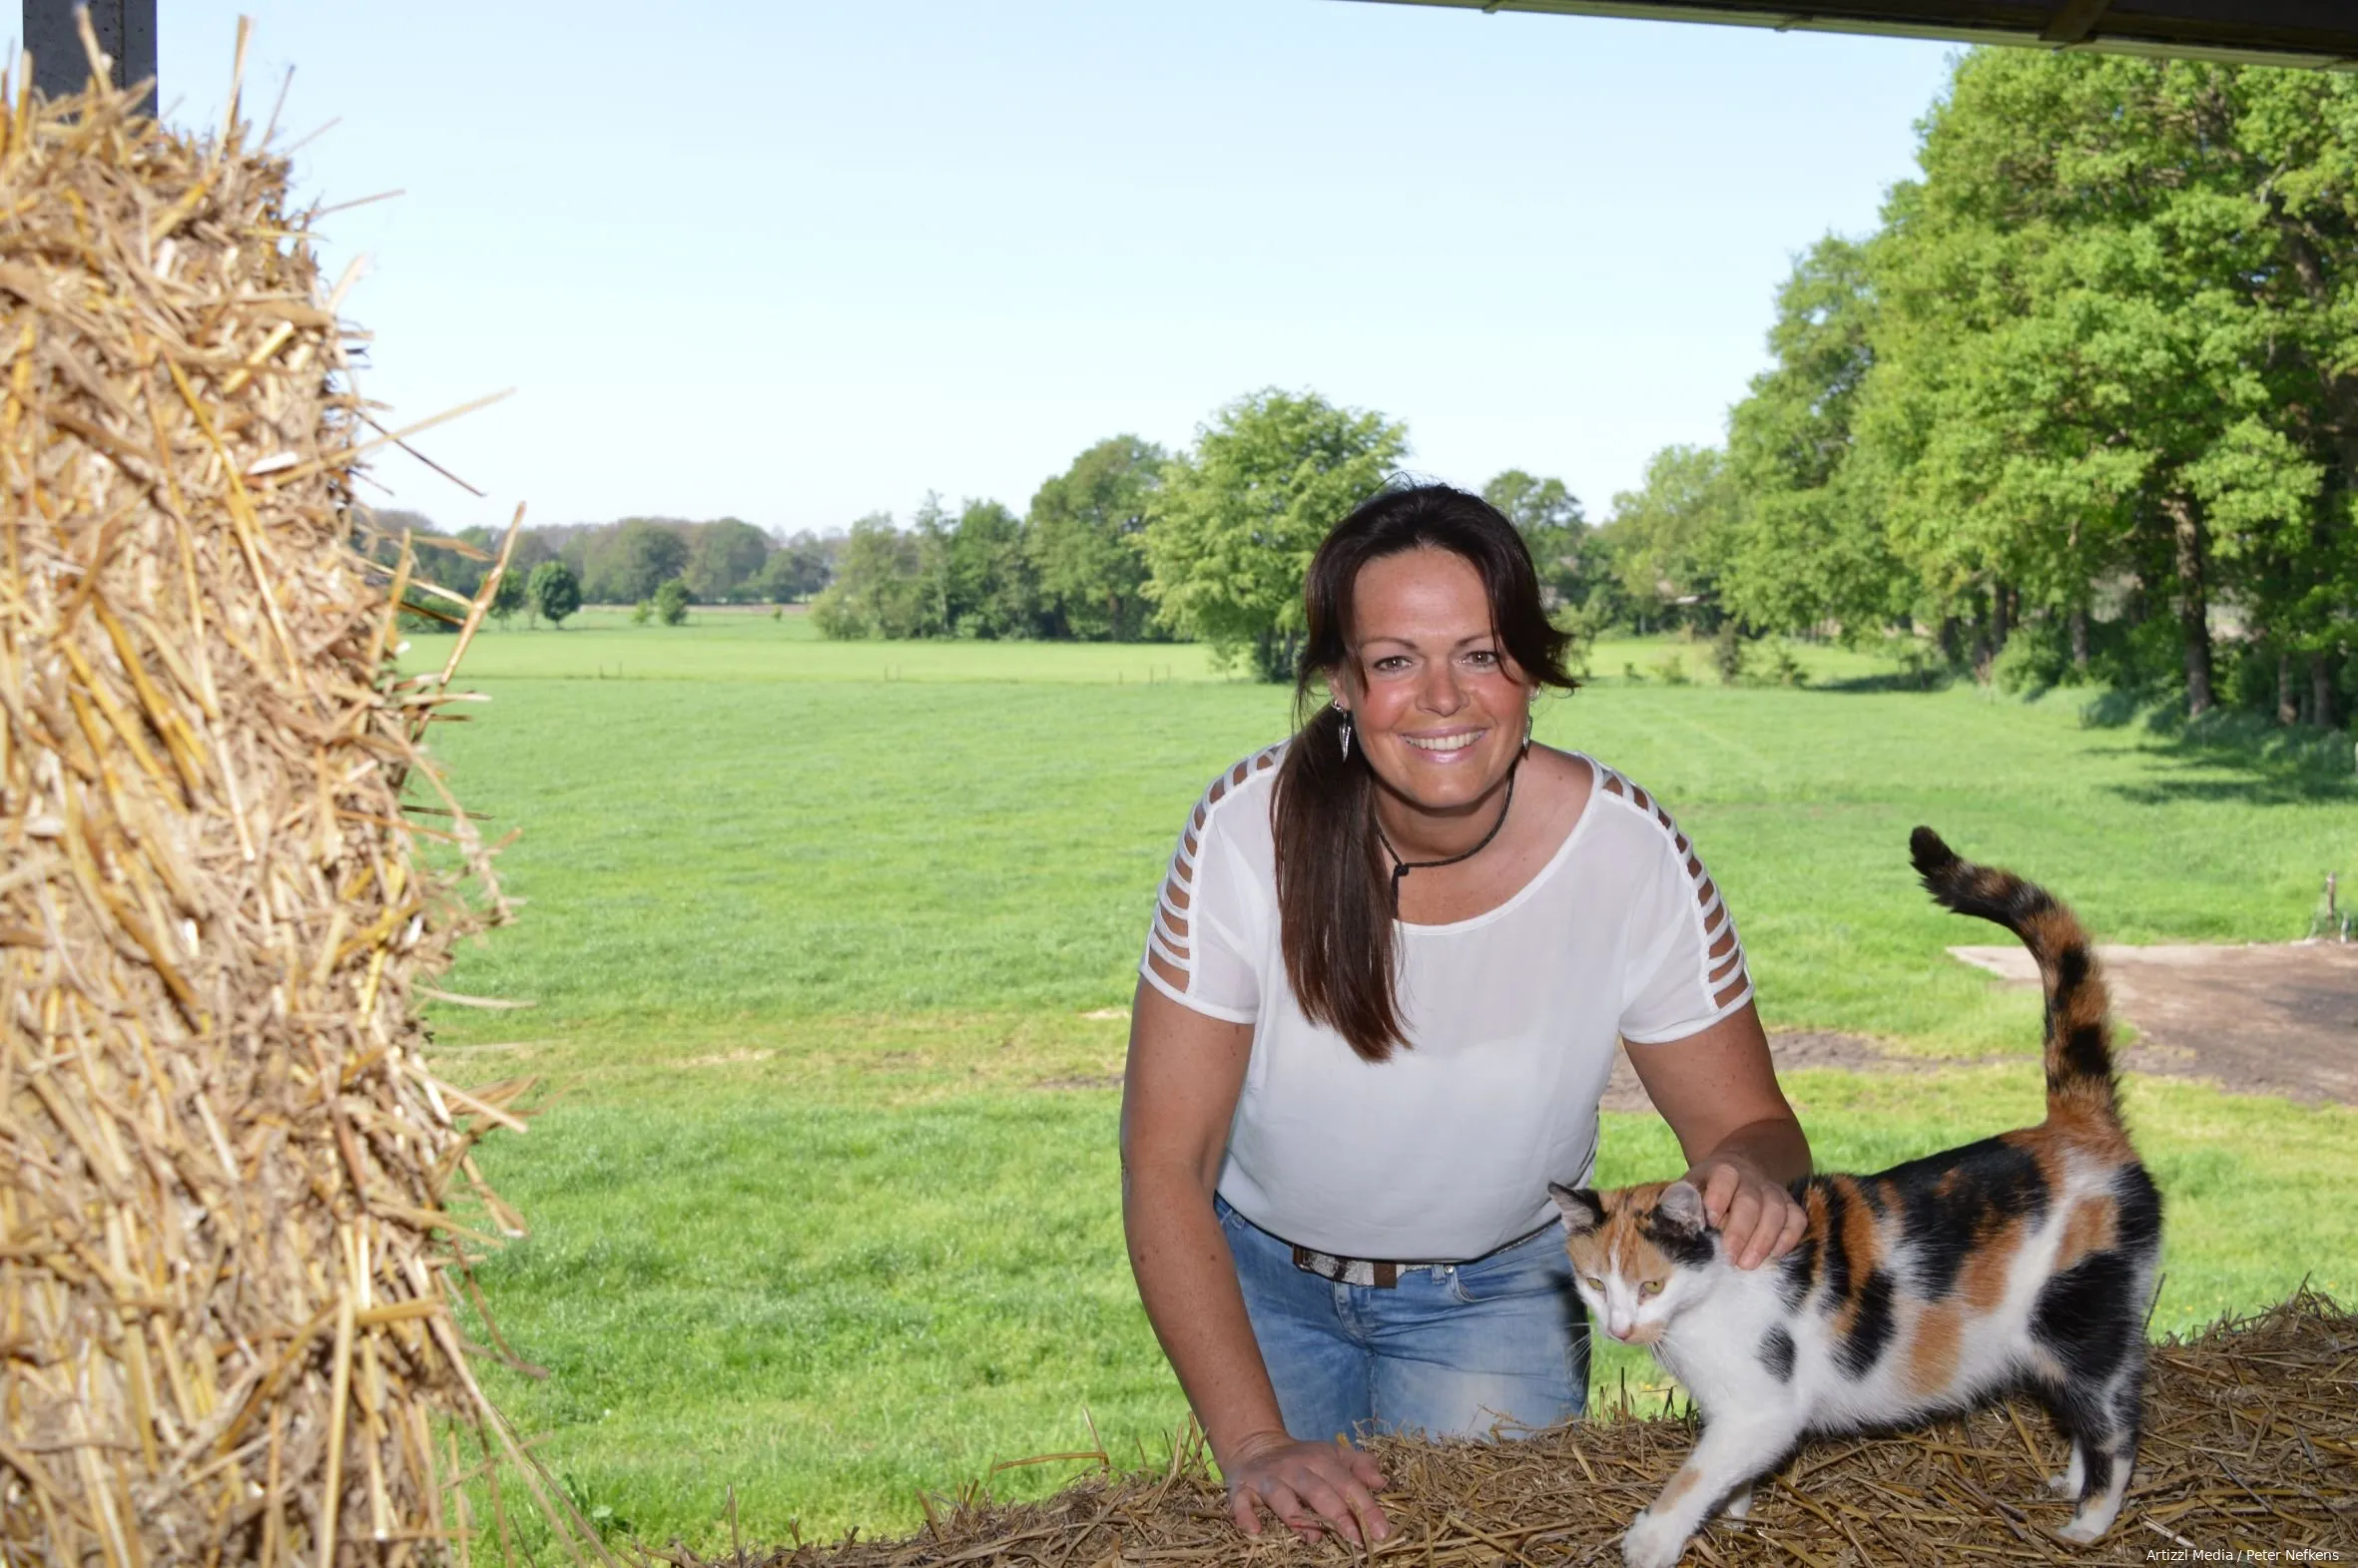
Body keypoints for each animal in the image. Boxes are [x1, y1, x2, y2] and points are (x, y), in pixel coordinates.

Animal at [1555, 824, 2159, 1556]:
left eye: (1650, 1284)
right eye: (1593, 1283)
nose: (1619, 1326)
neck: (1709, 1294)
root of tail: (2079, 1124)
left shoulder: (1764, 1408)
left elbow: (1696, 1475)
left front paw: (1651, 1541)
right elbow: (1731, 1475)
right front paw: (1737, 1514)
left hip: (2082, 1317)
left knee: (2115, 1423)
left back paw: (2088, 1521)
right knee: (2080, 1414)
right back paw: (2067, 1484)